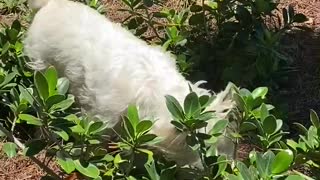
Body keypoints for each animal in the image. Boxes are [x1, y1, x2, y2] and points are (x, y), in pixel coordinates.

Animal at [24, 0, 235, 167]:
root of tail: (49, 4)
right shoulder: (101, 117)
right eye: (205, 151)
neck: (155, 88)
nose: (228, 168)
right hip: (44, 70)